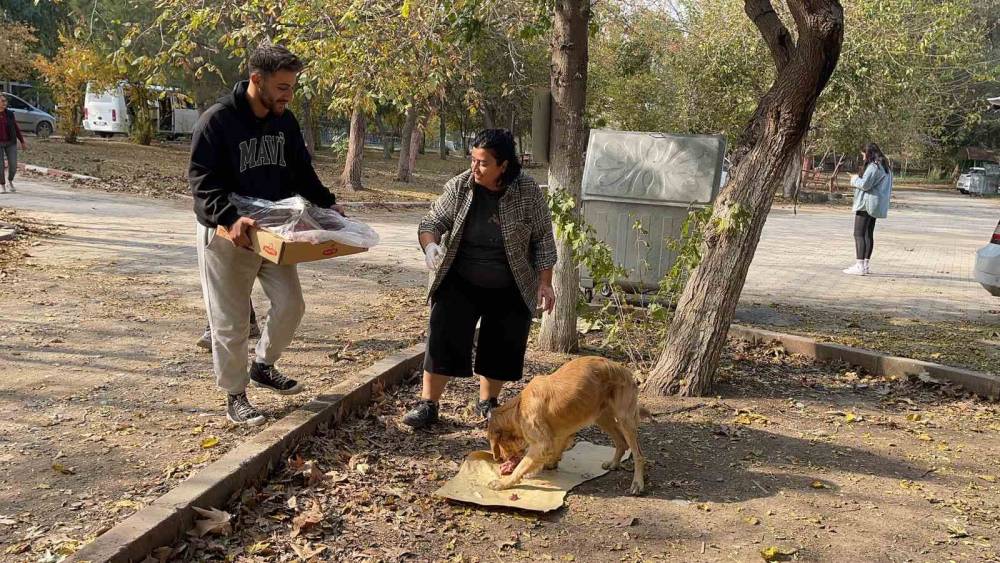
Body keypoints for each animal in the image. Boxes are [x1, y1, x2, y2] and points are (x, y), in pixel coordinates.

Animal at [486, 360, 648, 496]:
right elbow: (555, 450)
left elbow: (522, 465)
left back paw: (637, 484)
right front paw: (550, 464)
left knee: (638, 454)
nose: (501, 460)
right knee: (621, 443)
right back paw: (614, 463)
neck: (518, 408)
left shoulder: (542, 443)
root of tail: (627, 372)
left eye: (500, 445)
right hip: (601, 417)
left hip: (624, 420)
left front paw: (504, 482)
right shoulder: (560, 433)